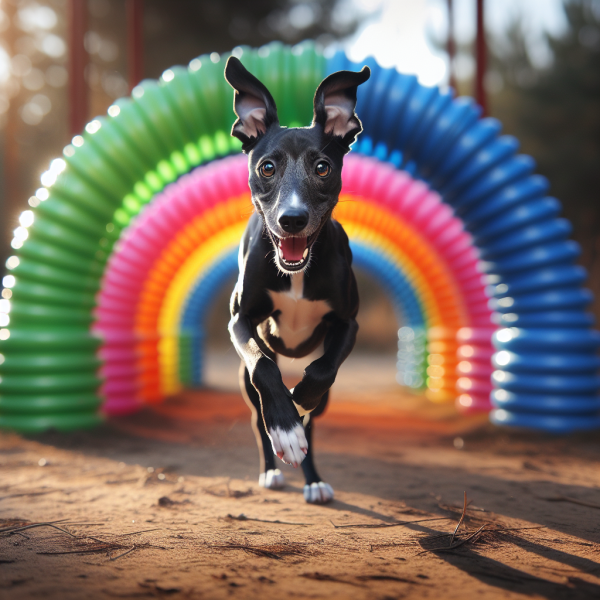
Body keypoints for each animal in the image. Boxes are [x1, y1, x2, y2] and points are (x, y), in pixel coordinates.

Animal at [224, 57, 368, 502]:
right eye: (266, 167)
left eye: (322, 167)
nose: (292, 220)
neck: (296, 273)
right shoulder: (239, 320)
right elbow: (264, 364)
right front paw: (284, 424)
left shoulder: (347, 323)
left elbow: (321, 372)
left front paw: (298, 401)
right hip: (244, 384)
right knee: (258, 417)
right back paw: (273, 463)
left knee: (314, 426)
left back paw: (313, 478)